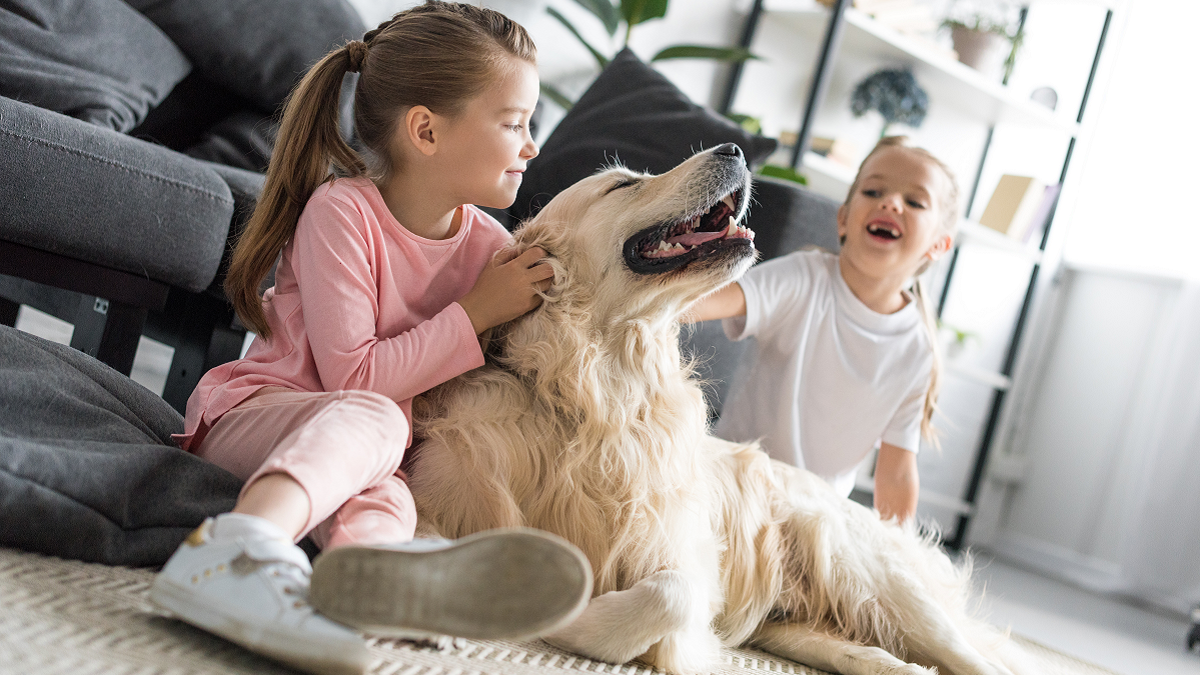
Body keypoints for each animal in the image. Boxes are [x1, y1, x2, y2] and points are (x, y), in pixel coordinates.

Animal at [408, 142, 1036, 672]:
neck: (592, 393)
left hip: (877, 576)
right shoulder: (439, 491)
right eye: (622, 185)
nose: (733, 148)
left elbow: (670, 597)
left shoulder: (681, 552)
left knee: (981, 662)